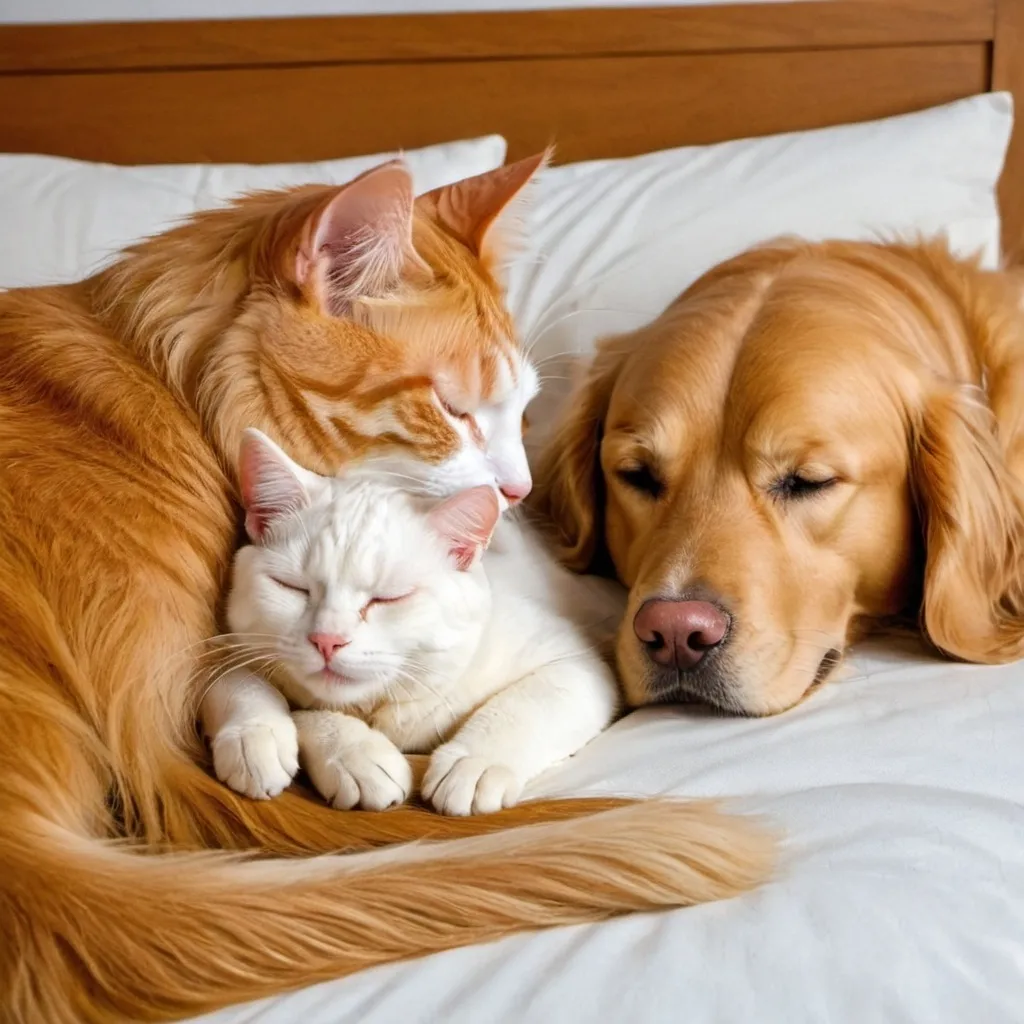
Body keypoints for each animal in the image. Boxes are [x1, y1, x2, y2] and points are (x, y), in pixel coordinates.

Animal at [195, 430, 618, 815]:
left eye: (388, 598)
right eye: (292, 587)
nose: (327, 640)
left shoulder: (575, 663)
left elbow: (522, 707)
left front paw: (474, 763)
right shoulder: (222, 645)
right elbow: (241, 682)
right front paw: (263, 735)